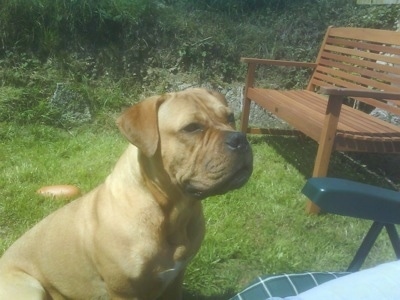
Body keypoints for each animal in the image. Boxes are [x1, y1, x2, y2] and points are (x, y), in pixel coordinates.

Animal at [0, 88, 253, 298]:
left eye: (230, 117)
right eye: (192, 128)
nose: (240, 138)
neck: (171, 211)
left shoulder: (174, 281)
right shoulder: (124, 291)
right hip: (30, 288)